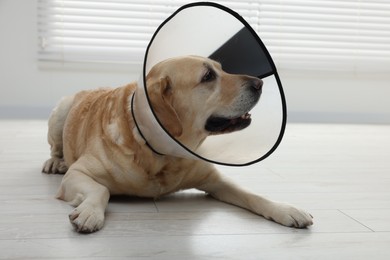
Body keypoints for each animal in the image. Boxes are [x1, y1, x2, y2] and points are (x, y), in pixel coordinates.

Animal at [41, 55, 312, 233]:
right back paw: (56, 163)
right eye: (208, 76)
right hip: (61, 113)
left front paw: (287, 209)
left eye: (221, 69)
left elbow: (252, 194)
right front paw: (90, 212)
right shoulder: (80, 172)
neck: (163, 154)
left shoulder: (216, 181)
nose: (260, 83)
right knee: (56, 149)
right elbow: (101, 189)